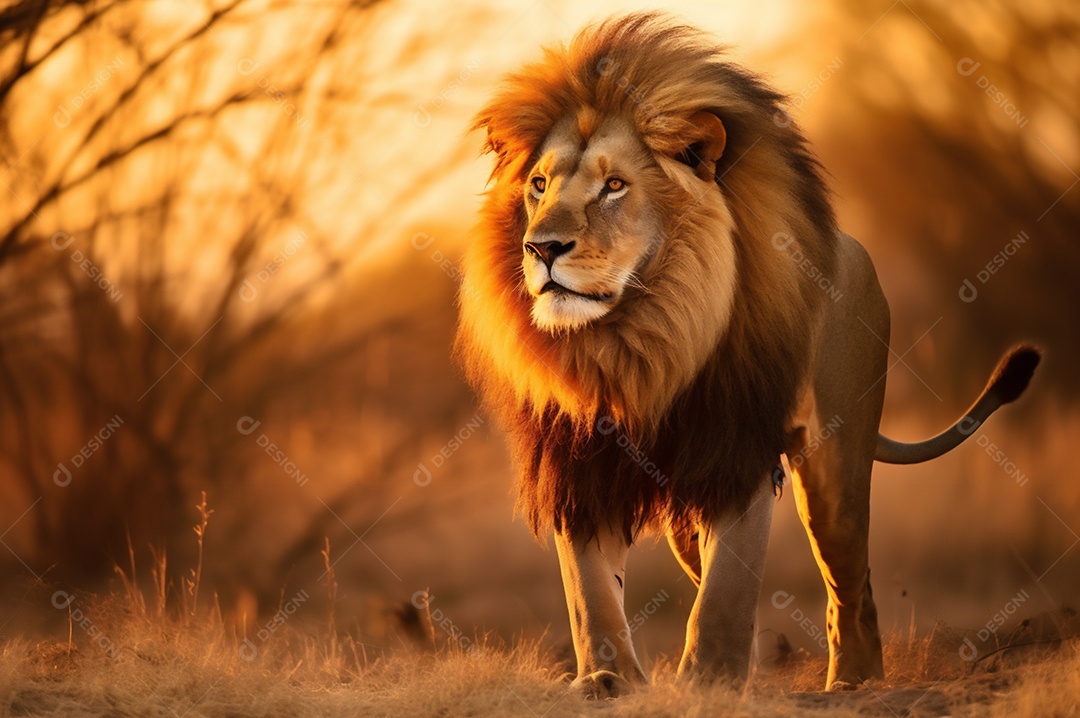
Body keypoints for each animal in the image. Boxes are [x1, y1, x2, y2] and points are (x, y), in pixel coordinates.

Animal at [455, 13, 1039, 696]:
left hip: (836, 471)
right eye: (539, 186)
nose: (541, 248)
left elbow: (728, 588)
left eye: (615, 186)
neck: (634, 342)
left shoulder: (736, 452)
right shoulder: (579, 466)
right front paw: (608, 678)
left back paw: (856, 681)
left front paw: (708, 679)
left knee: (851, 580)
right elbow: (591, 593)